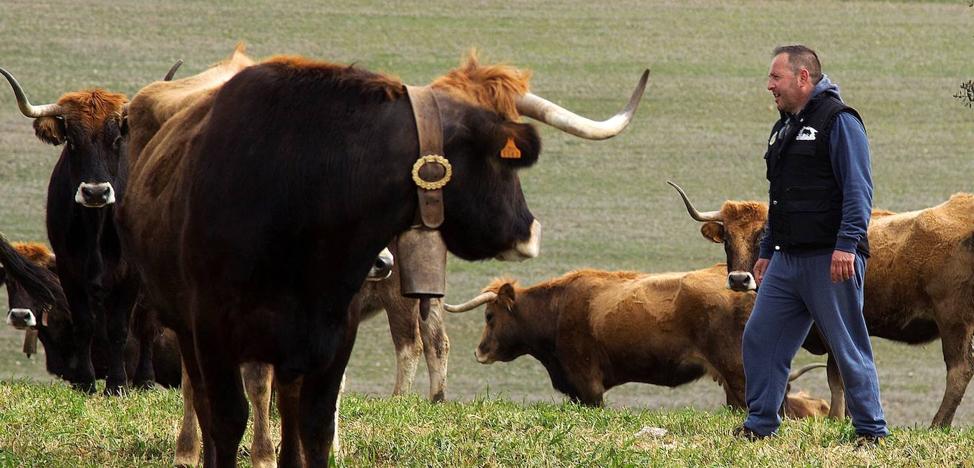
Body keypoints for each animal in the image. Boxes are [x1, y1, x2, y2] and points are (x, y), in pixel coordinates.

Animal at [122, 49, 652, 466]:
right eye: (502, 157)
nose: (530, 230)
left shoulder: (344, 321)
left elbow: (329, 400)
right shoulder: (220, 325)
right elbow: (242, 400)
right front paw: (257, 452)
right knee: (201, 388)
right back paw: (189, 449)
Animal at [676, 180, 974, 428]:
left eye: (761, 235)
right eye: (727, 238)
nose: (739, 279)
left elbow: (837, 373)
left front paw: (835, 418)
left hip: (954, 320)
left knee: (959, 369)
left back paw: (938, 424)